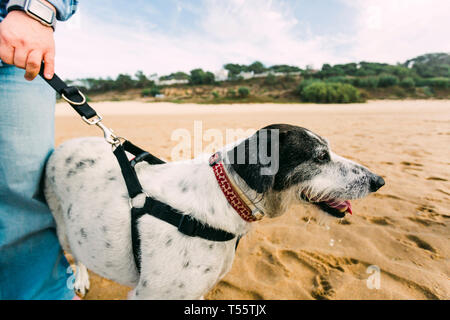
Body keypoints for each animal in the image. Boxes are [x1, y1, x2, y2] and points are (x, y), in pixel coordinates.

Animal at [44, 124, 384, 298]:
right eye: (320, 157)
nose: (379, 181)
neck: (226, 196)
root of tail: (62, 146)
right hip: (61, 224)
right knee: (74, 251)